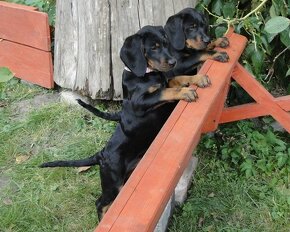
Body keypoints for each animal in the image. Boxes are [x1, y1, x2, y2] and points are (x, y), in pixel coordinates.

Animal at [40, 25, 208, 219]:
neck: (147, 74)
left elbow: (177, 79)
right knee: (100, 203)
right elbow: (164, 91)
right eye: (154, 47)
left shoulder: (167, 81)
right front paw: (185, 92)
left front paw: (198, 79)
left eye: (166, 44)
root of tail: (101, 154)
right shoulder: (138, 102)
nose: (173, 62)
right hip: (113, 182)